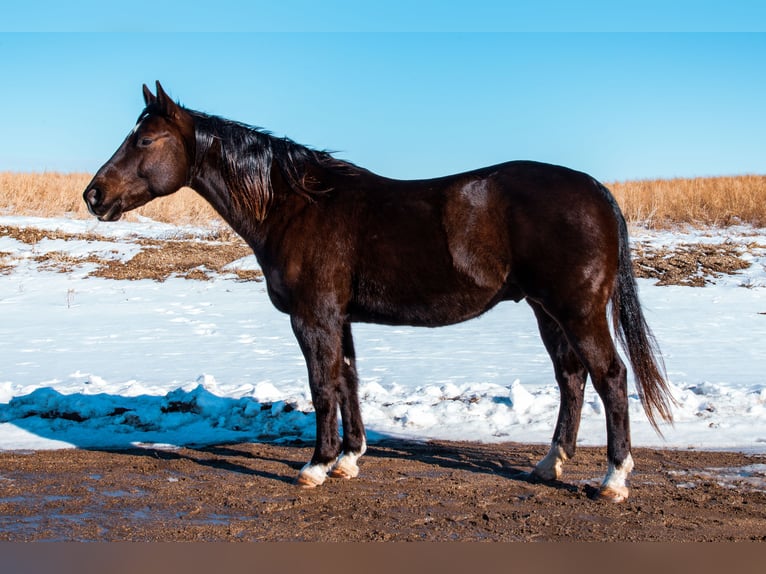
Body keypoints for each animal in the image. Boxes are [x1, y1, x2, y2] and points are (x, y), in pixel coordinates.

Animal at [84, 82, 674, 502]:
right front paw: (348, 459)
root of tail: (596, 190)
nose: (94, 195)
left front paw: (316, 465)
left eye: (145, 140)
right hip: (546, 311)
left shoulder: (313, 317)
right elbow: (348, 380)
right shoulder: (339, 318)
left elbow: (322, 386)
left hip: (577, 311)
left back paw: (613, 480)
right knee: (572, 378)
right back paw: (550, 464)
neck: (297, 206)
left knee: (610, 377)